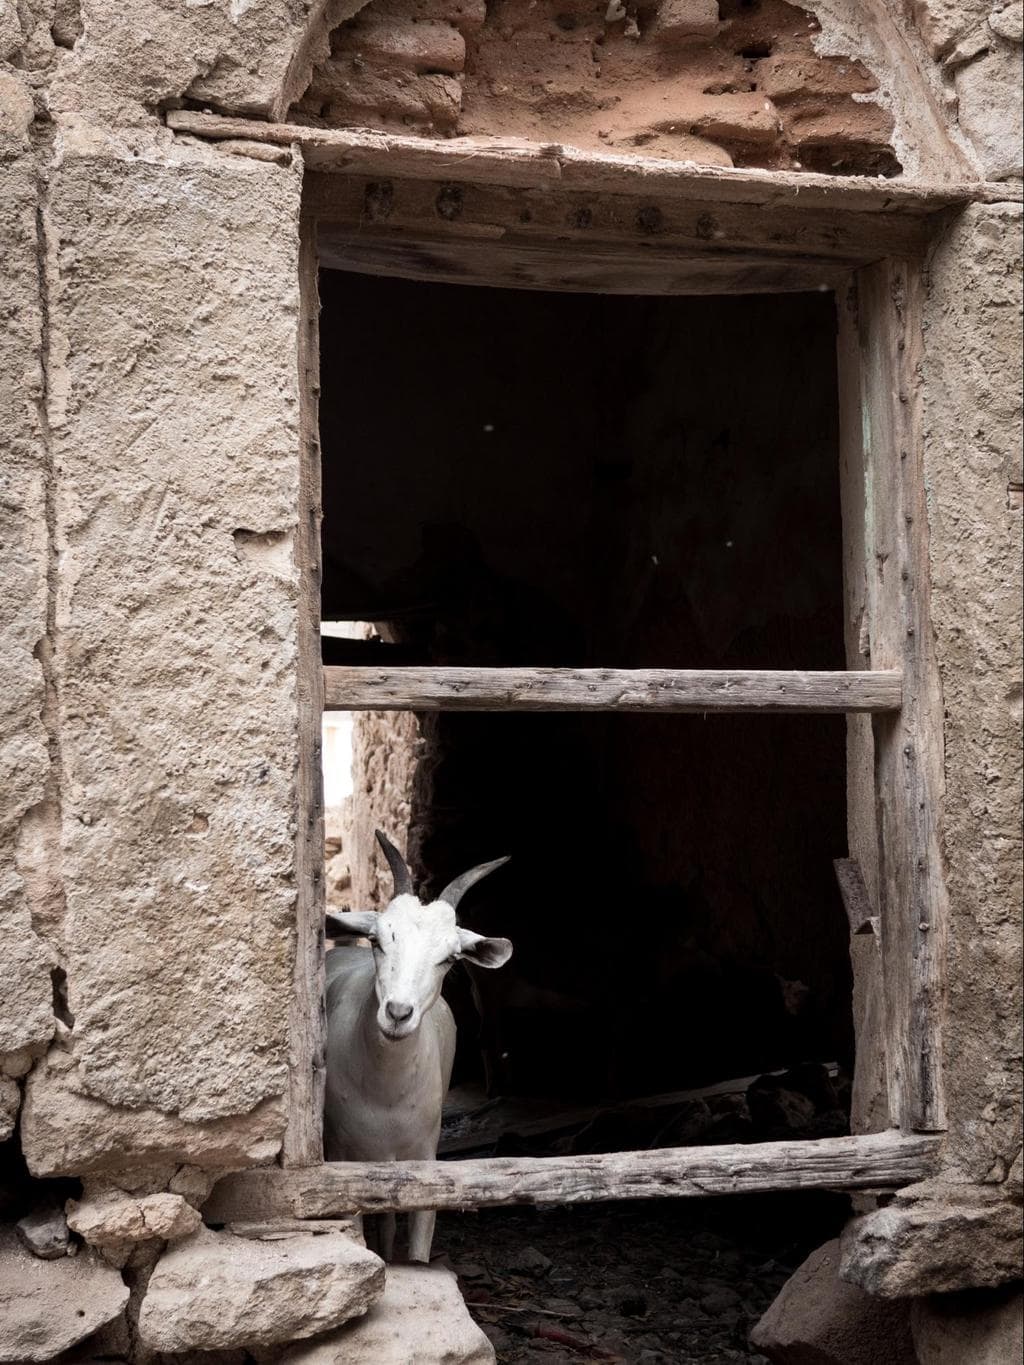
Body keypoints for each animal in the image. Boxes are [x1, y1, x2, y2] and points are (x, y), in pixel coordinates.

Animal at [324, 824, 513, 1261]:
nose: (397, 1013)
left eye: (450, 958)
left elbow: (419, 1240)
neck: (386, 1096)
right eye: (377, 940)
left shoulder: (425, 1161)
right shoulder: (344, 1161)